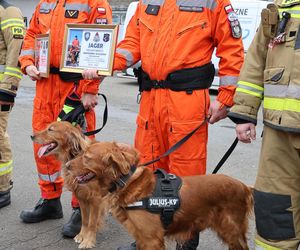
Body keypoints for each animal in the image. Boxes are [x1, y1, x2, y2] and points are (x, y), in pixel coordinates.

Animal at [67, 142, 252, 250]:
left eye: (87, 158)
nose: (67, 165)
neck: (127, 182)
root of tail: (244, 186)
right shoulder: (141, 237)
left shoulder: (152, 239)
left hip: (232, 231)